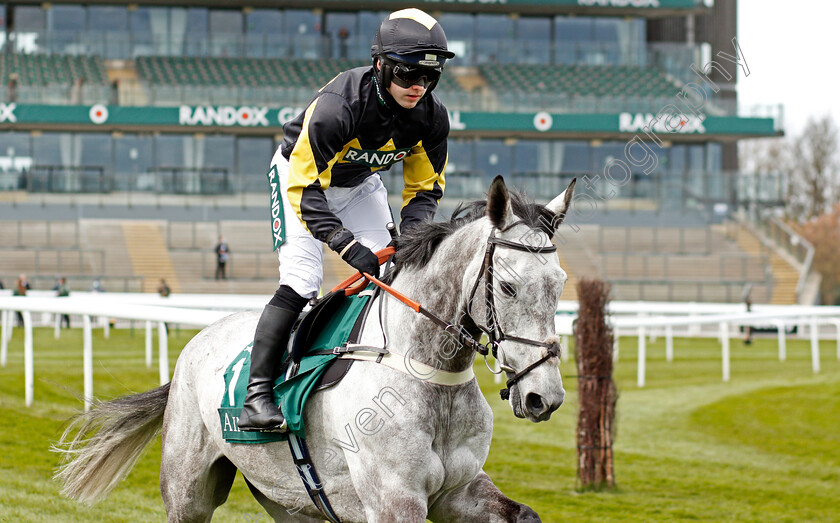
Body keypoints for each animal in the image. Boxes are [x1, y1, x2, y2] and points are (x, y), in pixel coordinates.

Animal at [54, 177, 576, 523]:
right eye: (507, 287)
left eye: (560, 283)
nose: (543, 397)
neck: (425, 370)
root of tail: (198, 340)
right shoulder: (394, 500)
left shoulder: (461, 490)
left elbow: (523, 514)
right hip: (187, 489)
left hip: (287, 498)